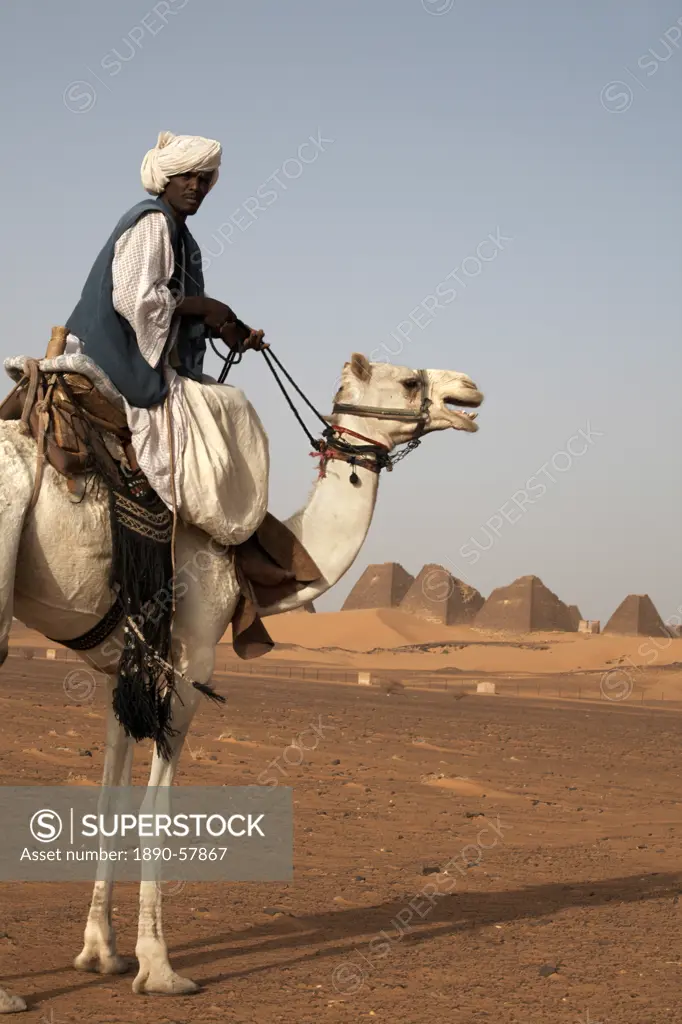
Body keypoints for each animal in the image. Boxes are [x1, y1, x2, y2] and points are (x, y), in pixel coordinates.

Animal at [0, 354, 481, 1007]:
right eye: (409, 381)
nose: (469, 391)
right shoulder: (190, 663)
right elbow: (156, 812)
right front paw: (161, 968)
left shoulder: (124, 673)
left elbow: (110, 801)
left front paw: (102, 953)